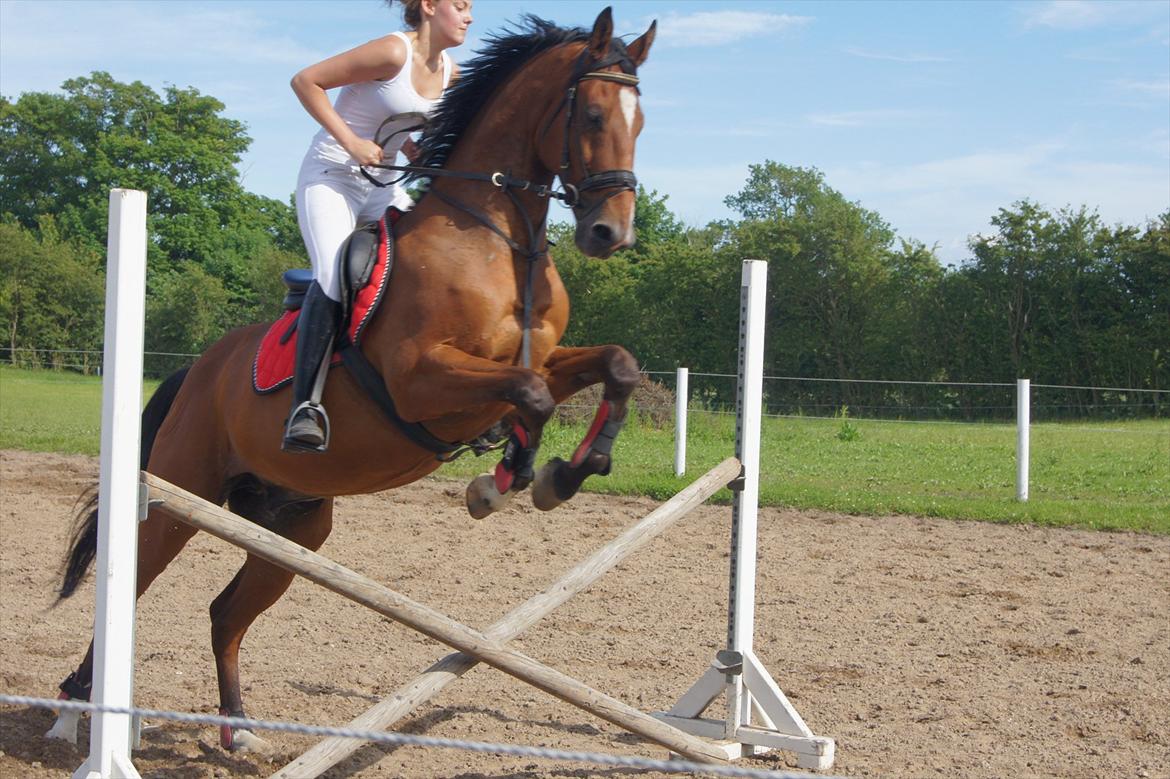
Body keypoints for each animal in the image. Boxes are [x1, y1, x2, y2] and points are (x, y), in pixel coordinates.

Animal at [52, 10, 659, 753]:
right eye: (594, 113)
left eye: (641, 120)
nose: (611, 233)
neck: (497, 239)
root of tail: (197, 369)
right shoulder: (420, 380)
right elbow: (533, 397)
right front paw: (502, 482)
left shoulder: (536, 358)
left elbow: (610, 366)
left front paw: (563, 475)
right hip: (175, 494)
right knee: (131, 582)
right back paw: (71, 710)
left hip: (295, 527)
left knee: (226, 613)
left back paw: (238, 731)